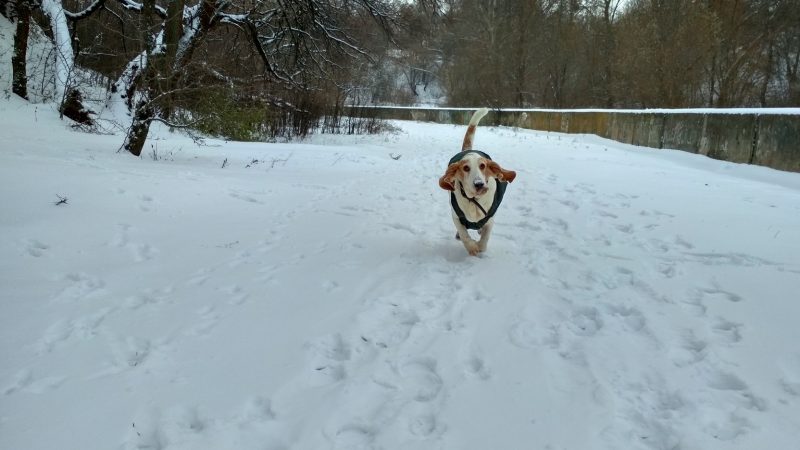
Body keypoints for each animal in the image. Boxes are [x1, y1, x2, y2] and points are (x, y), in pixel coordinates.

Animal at [440, 108, 516, 255]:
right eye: (465, 168)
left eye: (483, 166)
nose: (479, 184)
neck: (474, 200)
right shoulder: (456, 216)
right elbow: (464, 234)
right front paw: (472, 247)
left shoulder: (490, 219)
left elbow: (485, 239)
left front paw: (479, 246)